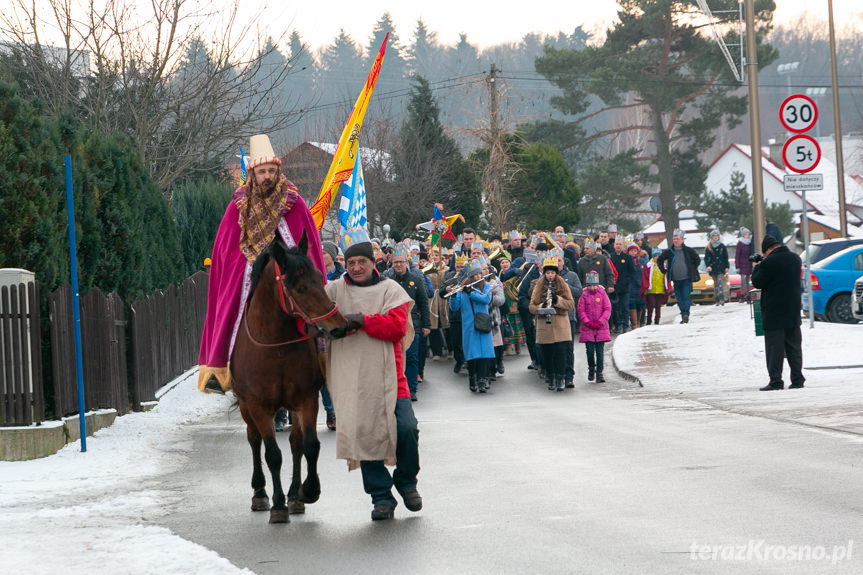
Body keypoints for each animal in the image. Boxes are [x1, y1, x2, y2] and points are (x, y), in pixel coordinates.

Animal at [233, 232, 352, 524]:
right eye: (299, 288)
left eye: (320, 278)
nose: (339, 326)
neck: (276, 347)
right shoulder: (258, 406)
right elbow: (272, 454)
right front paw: (277, 505)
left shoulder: (306, 399)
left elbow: (309, 445)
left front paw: (307, 491)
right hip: (245, 407)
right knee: (254, 440)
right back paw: (260, 493)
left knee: (296, 444)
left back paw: (295, 495)